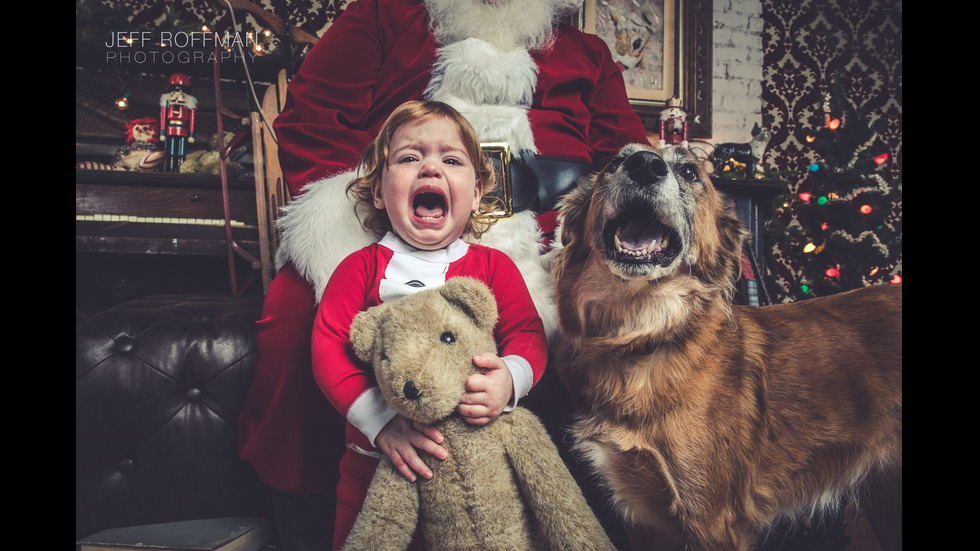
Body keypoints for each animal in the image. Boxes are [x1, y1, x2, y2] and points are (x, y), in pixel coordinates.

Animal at [552, 146, 904, 551]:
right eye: (613, 163)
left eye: (690, 172)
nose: (643, 164)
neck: (643, 336)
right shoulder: (645, 521)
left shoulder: (711, 521)